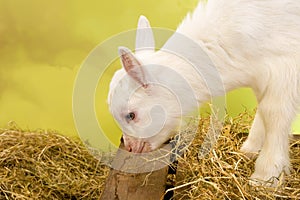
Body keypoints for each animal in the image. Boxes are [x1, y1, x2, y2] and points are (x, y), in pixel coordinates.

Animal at [108, 0, 300, 186]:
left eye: (131, 115)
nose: (130, 148)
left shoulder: (286, 69)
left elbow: (273, 113)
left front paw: (265, 176)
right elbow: (263, 111)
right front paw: (250, 149)